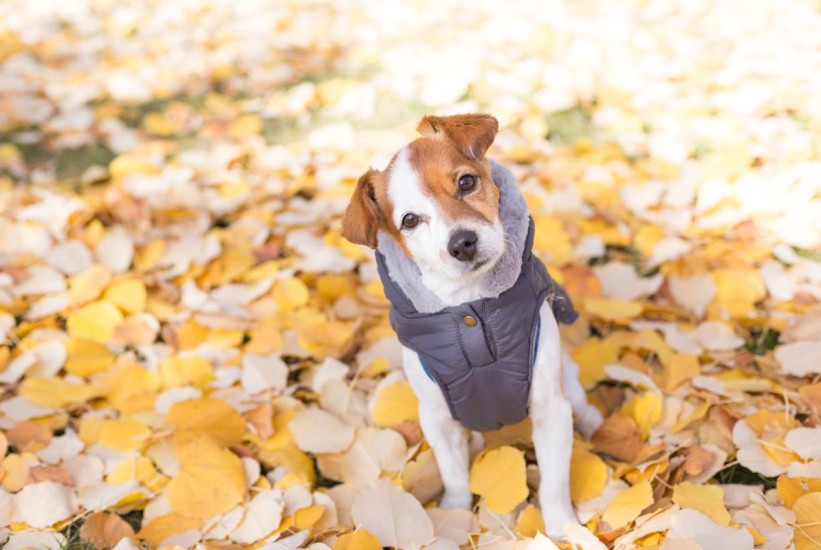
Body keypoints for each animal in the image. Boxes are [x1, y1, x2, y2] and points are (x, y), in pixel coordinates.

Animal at [340, 114, 604, 540]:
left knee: (580, 401)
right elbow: (455, 476)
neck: (471, 310)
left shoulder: (550, 411)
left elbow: (553, 483)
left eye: (466, 182)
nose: (462, 242)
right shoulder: (438, 418)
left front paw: (562, 528)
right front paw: (454, 518)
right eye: (409, 220)